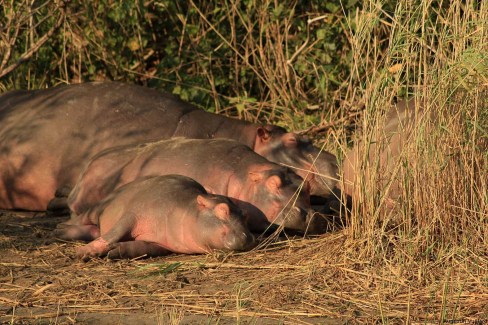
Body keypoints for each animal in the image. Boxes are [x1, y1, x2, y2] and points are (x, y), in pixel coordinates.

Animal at [54, 173, 254, 260]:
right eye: (222, 210)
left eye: (245, 215)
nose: (246, 237)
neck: (188, 210)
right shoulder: (133, 214)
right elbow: (113, 233)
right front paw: (83, 253)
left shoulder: (161, 243)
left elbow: (141, 248)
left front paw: (115, 251)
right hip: (99, 208)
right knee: (83, 219)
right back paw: (59, 229)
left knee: (93, 230)